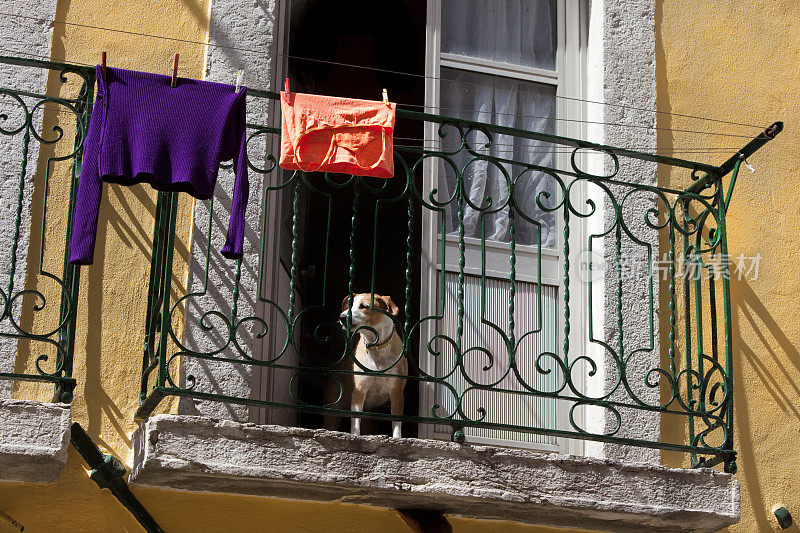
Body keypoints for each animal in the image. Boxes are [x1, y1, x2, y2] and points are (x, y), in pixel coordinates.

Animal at [336, 290, 410, 436]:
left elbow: (397, 424)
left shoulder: (397, 392)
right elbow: (355, 422)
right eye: (349, 305)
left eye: (363, 306)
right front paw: (355, 436)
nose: (342, 317)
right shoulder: (359, 391)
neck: (376, 348)